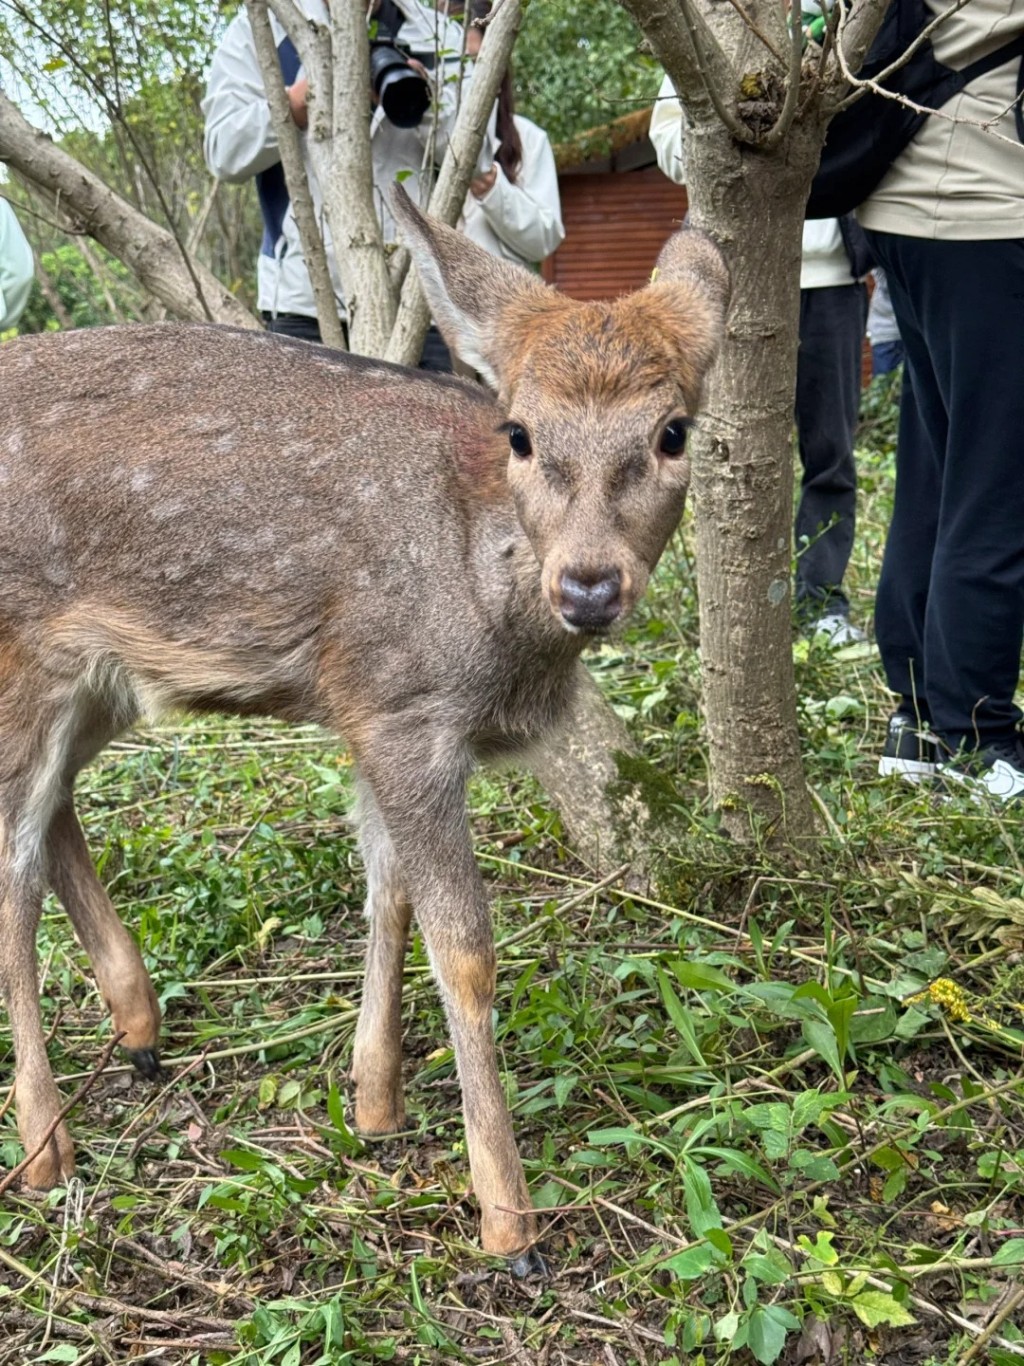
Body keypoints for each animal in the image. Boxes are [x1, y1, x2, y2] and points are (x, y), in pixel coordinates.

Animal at [0, 187, 731, 1273]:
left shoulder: (376, 714)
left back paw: (140, 1028)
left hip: (102, 683)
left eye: (674, 430)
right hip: (22, 657)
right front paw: (507, 1217)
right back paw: (47, 1146)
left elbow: (387, 894)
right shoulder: (405, 709)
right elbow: (463, 946)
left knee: (53, 816)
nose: (590, 584)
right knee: (8, 871)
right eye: (520, 431)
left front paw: (374, 1101)